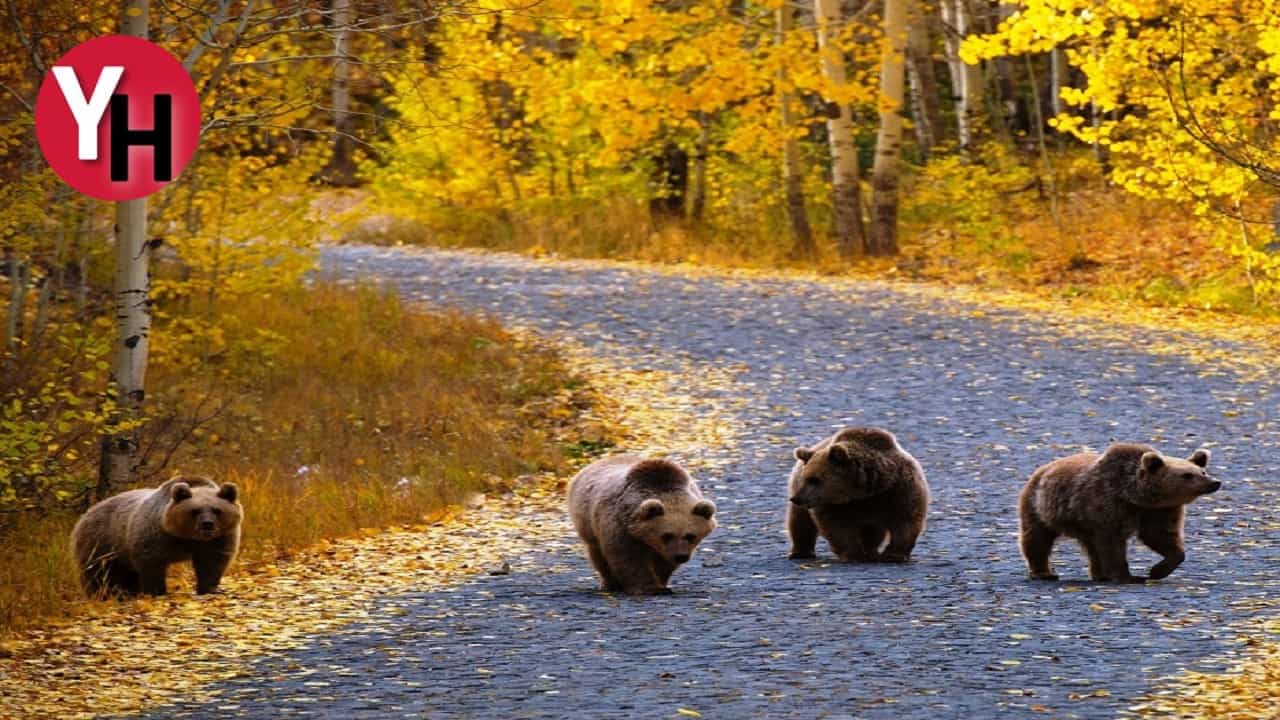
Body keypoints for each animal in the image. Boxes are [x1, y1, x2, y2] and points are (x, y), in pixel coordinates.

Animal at [72, 471, 244, 594]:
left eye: (217, 510)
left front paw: (210, 588)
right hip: (101, 542)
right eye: (195, 511)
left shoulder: (219, 537)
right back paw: (104, 594)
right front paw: (157, 590)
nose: (207, 524)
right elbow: (151, 562)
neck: (186, 536)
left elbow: (213, 561)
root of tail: (87, 512)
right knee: (99, 572)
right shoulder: (157, 535)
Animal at [570, 453, 721, 594]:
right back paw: (610, 584)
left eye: (690, 535)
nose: (681, 556)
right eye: (667, 535)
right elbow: (628, 556)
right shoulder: (619, 524)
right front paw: (650, 587)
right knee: (598, 554)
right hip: (588, 523)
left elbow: (663, 562)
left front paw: (661, 583)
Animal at [783, 425, 926, 561]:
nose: (796, 498)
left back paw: (871, 551)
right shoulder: (833, 505)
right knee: (800, 521)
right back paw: (801, 552)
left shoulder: (899, 489)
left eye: (814, 480)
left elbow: (906, 519)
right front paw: (854, 554)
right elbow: (837, 527)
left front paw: (893, 555)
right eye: (806, 478)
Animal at [1018, 440, 1218, 579]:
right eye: (1187, 475)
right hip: (1040, 505)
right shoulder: (1108, 505)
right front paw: (1128, 576)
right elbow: (1113, 542)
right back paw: (1044, 573)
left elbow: (1160, 536)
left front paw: (1158, 570)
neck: (1136, 496)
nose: (1215, 482)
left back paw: (1099, 575)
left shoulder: (1161, 510)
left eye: (1203, 472)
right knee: (1037, 538)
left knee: (1091, 546)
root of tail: (1043, 468)